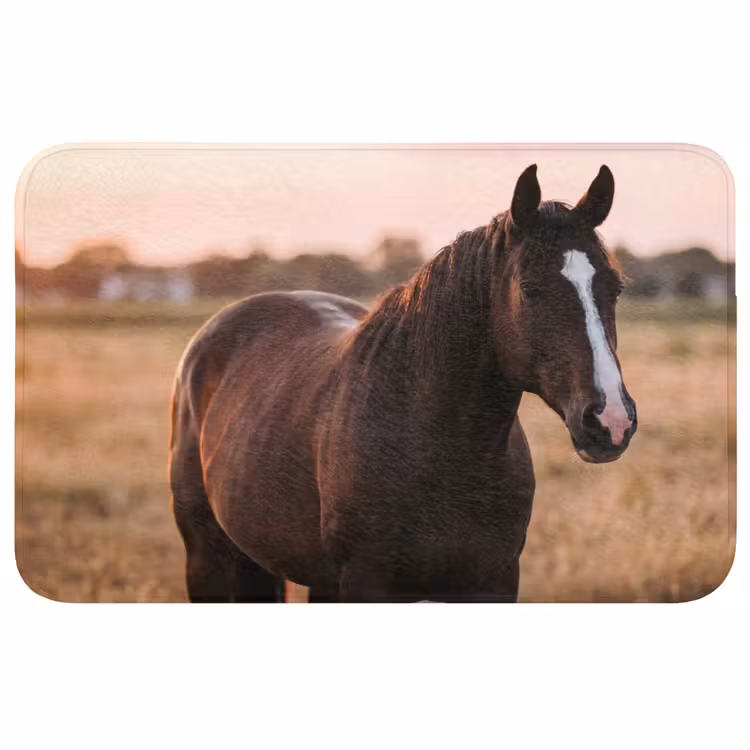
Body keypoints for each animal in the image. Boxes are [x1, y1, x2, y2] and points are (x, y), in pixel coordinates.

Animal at [168, 164, 637, 603]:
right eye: (529, 288)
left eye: (615, 288)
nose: (611, 420)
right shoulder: (366, 584)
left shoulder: (494, 581)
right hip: (207, 558)